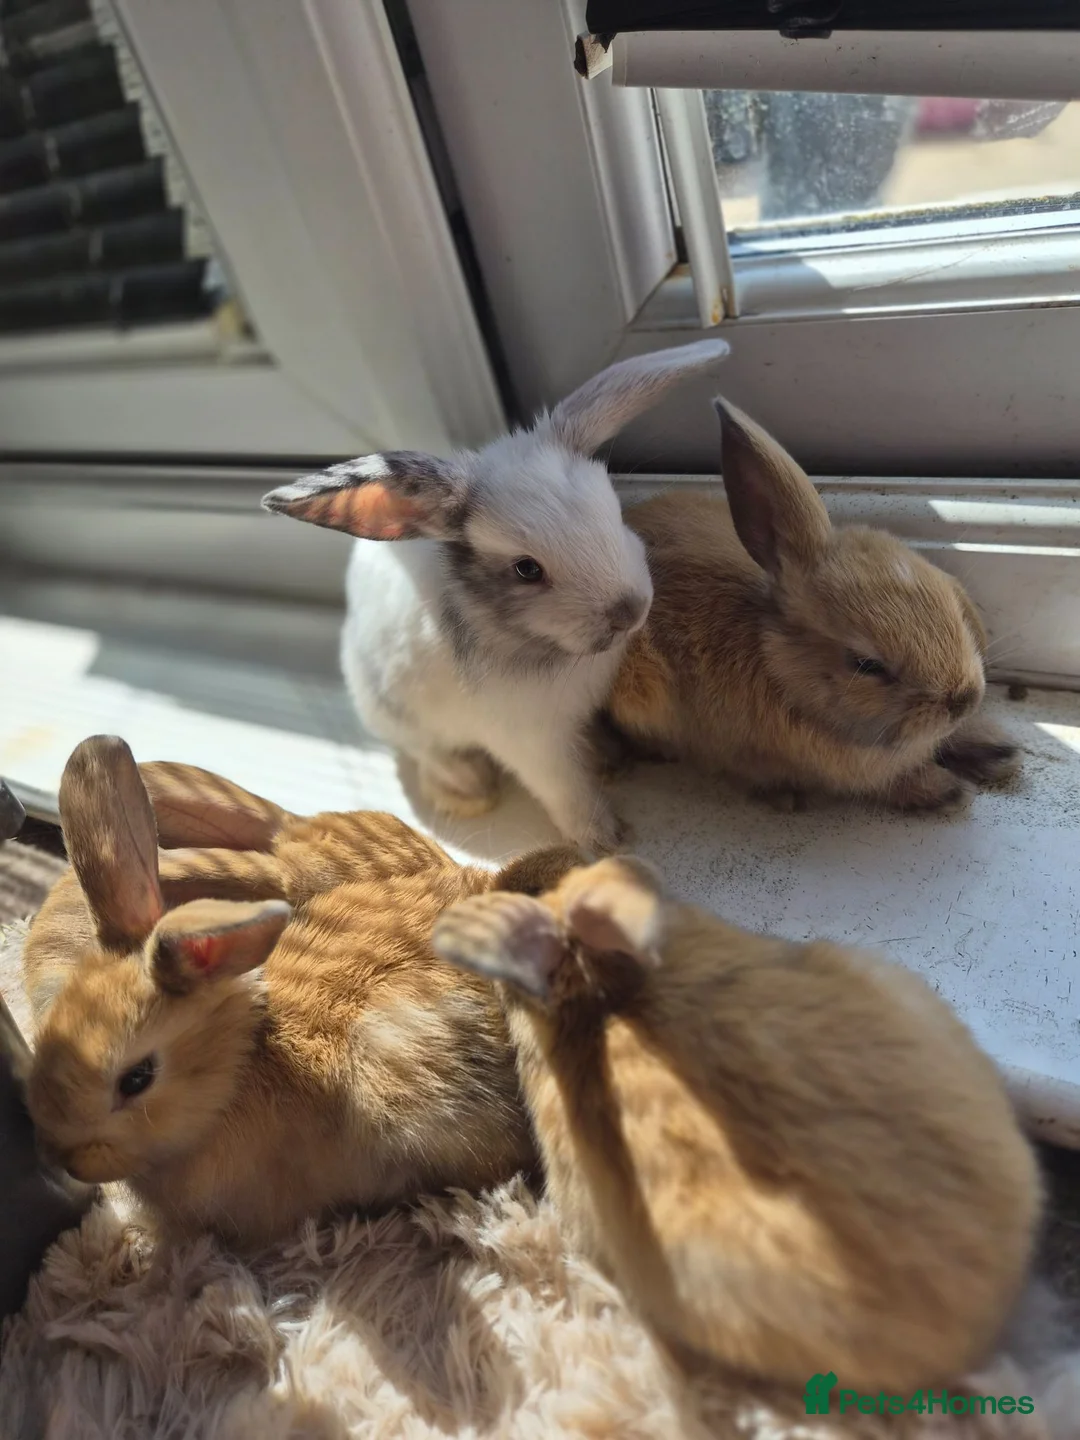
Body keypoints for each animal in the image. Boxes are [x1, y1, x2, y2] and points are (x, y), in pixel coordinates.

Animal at [260, 340, 731, 851]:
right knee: (429, 753)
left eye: (614, 510)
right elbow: (566, 790)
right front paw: (606, 839)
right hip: (393, 712)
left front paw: (614, 759)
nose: (631, 610)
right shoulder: (530, 742)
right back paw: (469, 787)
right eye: (527, 569)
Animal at [603, 398, 1021, 813]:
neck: (783, 671)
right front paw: (945, 790)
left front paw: (998, 749)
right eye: (866, 665)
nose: (964, 700)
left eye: (947, 600)